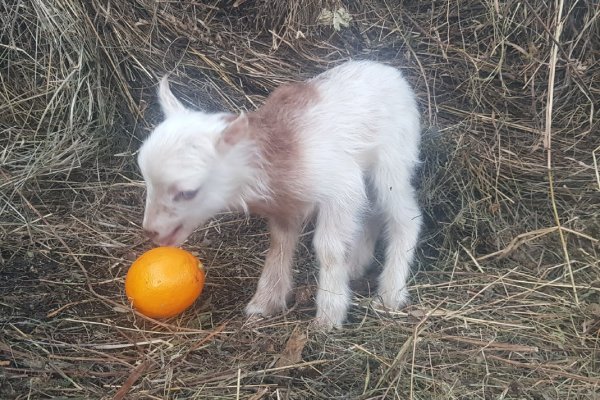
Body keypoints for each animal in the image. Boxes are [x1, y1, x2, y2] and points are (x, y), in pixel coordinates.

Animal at [139, 60, 422, 328]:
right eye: (146, 180)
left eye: (188, 192)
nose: (151, 231)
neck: (284, 154)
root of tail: (388, 70)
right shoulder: (284, 205)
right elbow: (280, 245)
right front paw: (265, 302)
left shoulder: (342, 186)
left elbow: (329, 247)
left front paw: (329, 315)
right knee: (372, 212)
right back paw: (356, 265)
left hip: (393, 159)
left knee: (406, 217)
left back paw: (390, 295)